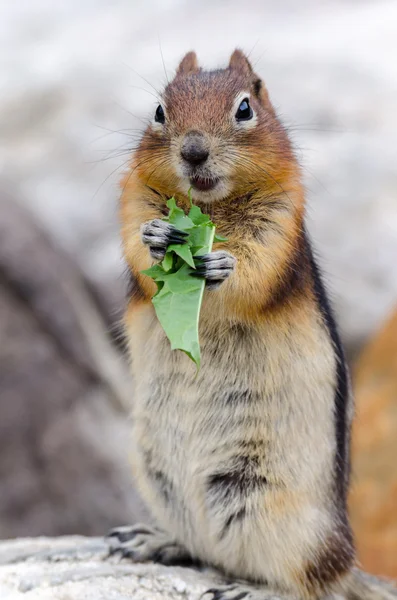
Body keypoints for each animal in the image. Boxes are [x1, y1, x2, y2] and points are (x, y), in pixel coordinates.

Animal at [106, 51, 396, 600]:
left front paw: (223, 265)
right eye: (159, 110)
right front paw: (156, 238)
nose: (193, 151)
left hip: (277, 512)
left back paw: (254, 588)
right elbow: (137, 243)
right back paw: (154, 540)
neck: (208, 208)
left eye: (245, 109)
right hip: (157, 479)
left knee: (311, 581)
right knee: (202, 547)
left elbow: (256, 269)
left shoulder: (281, 225)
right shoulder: (133, 198)